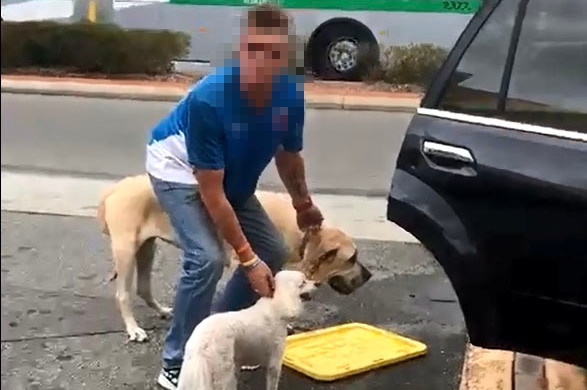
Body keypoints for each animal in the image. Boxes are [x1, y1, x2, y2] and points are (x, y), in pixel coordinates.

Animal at [97, 174, 372, 342]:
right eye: (352, 258)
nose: (369, 275)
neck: (303, 237)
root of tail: (114, 188)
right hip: (126, 249)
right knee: (123, 294)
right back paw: (134, 329)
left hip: (146, 248)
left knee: (143, 287)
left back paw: (163, 310)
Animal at [178, 272, 316, 390]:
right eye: (303, 282)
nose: (317, 283)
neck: (276, 306)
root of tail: (201, 342)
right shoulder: (275, 361)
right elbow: (272, 382)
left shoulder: (238, 360)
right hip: (222, 370)